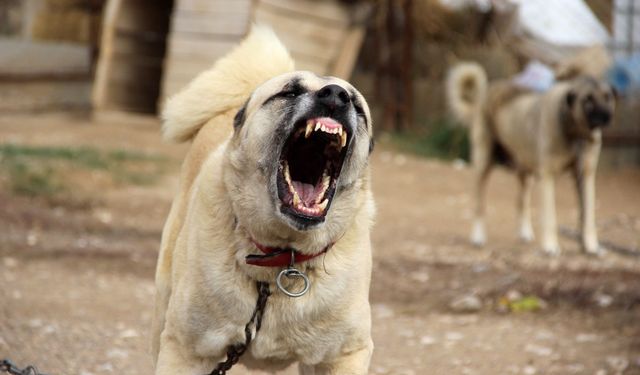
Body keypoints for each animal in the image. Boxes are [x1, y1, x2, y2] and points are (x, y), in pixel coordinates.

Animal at [151, 27, 376, 375]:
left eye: (356, 104)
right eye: (290, 92)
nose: (336, 95)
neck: (282, 261)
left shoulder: (343, 355)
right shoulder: (186, 351)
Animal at [448, 62, 616, 256]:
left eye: (607, 97)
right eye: (588, 100)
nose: (607, 116)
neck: (575, 133)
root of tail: (489, 90)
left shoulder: (586, 176)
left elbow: (588, 216)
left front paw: (590, 246)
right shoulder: (548, 176)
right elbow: (550, 216)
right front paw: (550, 246)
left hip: (525, 172)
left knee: (521, 202)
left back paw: (525, 233)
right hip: (483, 165)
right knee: (479, 204)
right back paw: (478, 237)